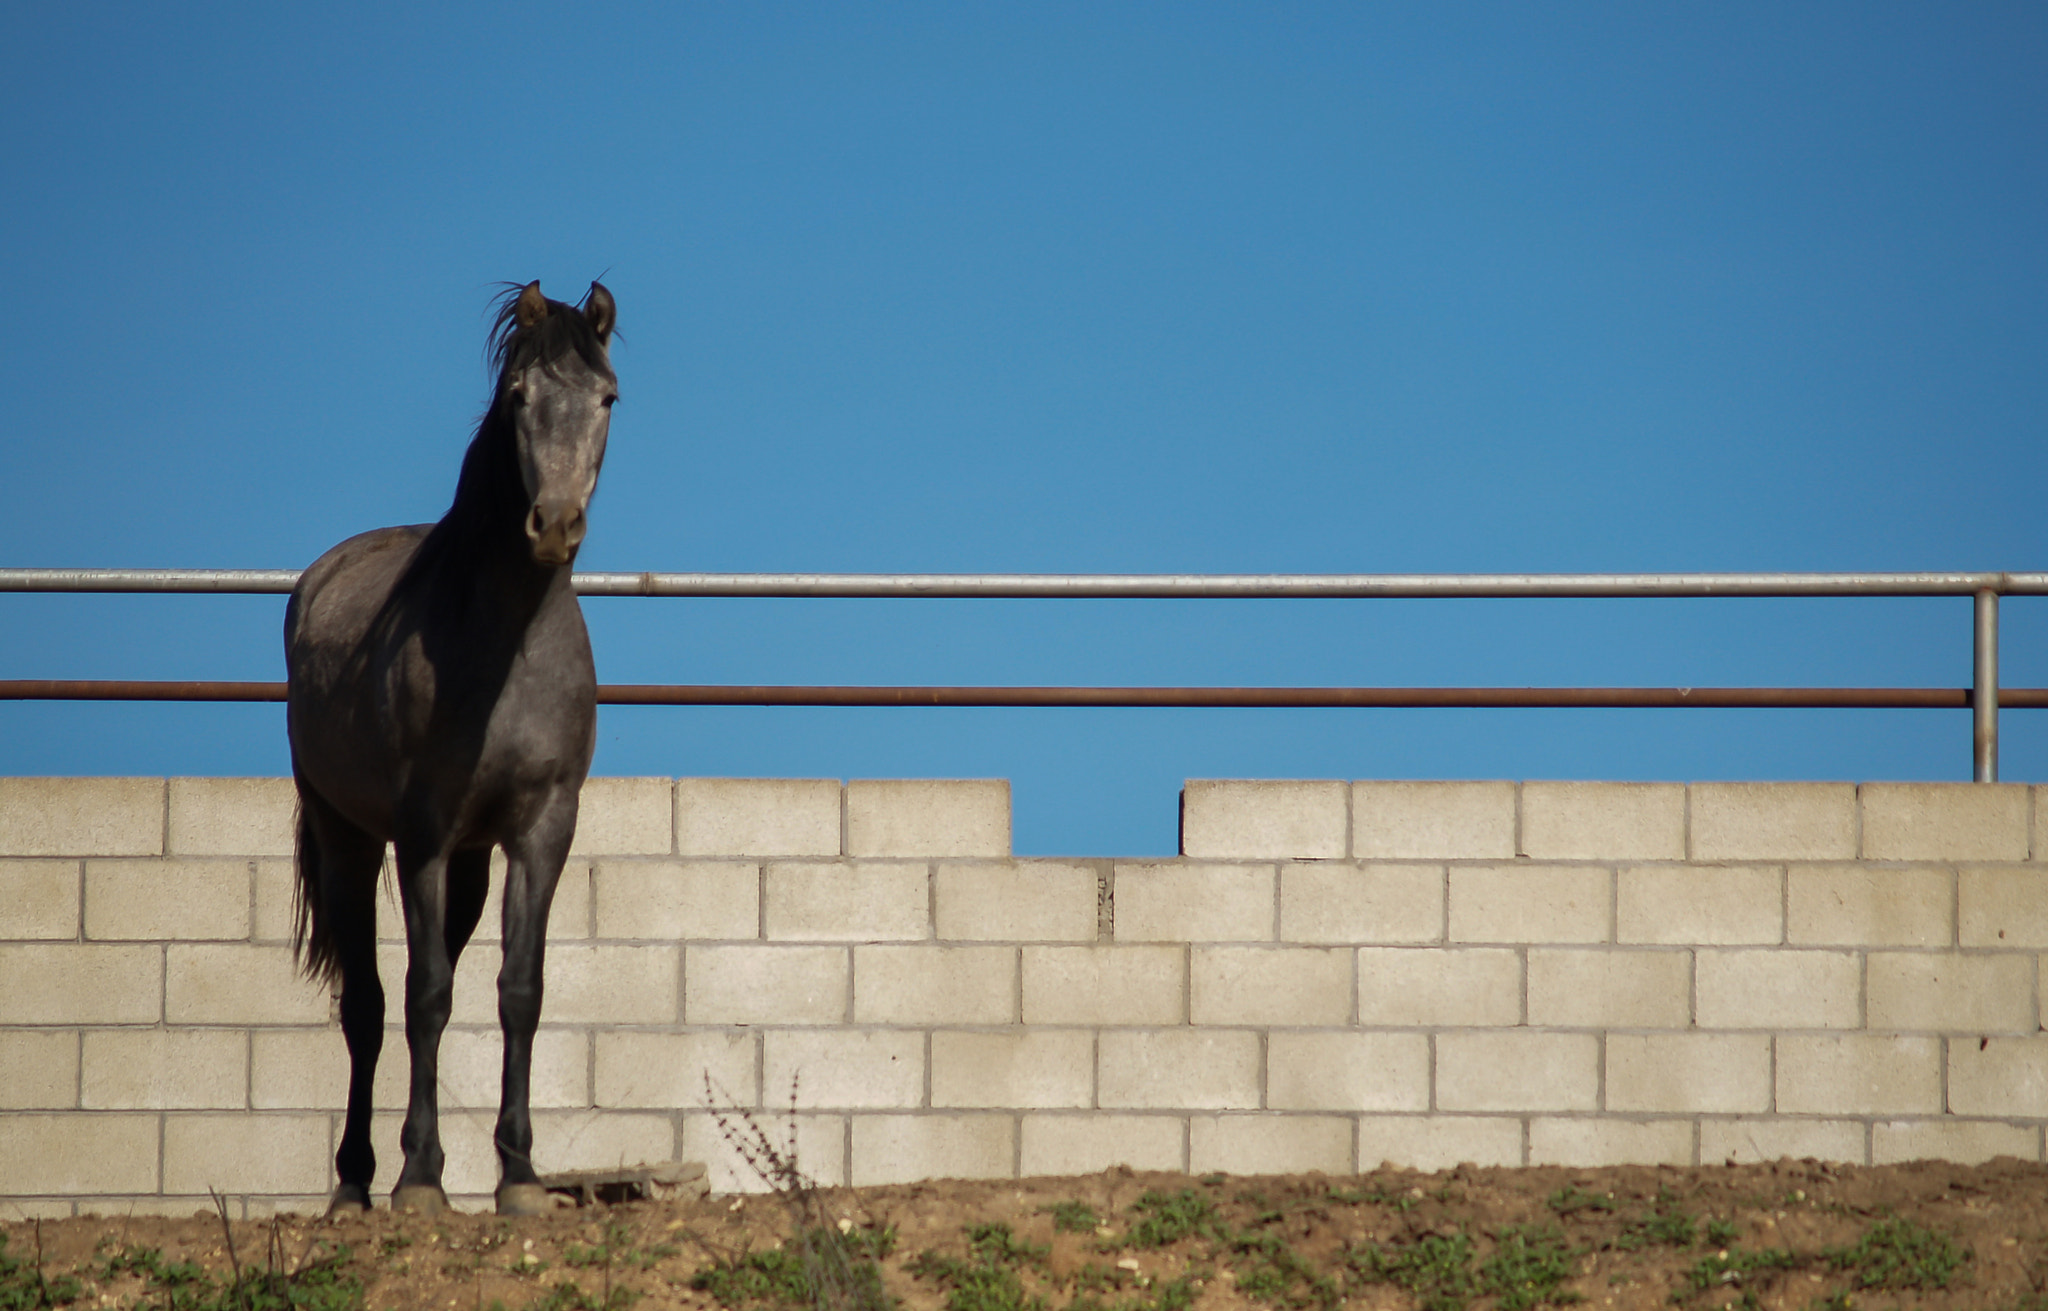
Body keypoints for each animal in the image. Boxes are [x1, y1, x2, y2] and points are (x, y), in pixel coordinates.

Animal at [284, 278, 614, 1220]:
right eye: (519, 396)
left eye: (607, 398)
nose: (555, 523)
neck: (504, 645)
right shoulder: (422, 834)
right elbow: (423, 995)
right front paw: (421, 1178)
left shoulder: (542, 830)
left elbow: (519, 991)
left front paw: (521, 1175)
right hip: (350, 840)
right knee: (368, 1004)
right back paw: (356, 1180)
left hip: (468, 860)